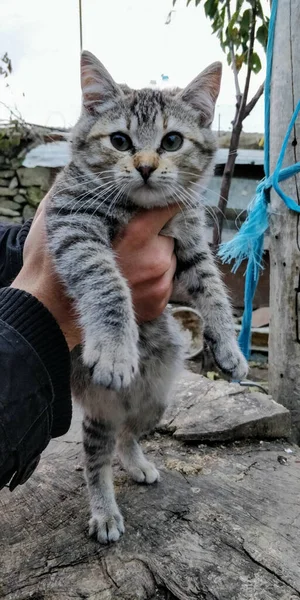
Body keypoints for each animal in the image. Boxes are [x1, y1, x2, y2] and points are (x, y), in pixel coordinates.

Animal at [46, 52, 248, 544]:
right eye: (119, 141)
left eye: (172, 140)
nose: (144, 166)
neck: (140, 208)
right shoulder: (73, 223)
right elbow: (105, 280)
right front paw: (116, 348)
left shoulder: (189, 247)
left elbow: (213, 289)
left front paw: (229, 348)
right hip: (100, 406)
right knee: (96, 455)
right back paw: (104, 512)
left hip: (156, 400)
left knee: (127, 434)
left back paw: (136, 463)